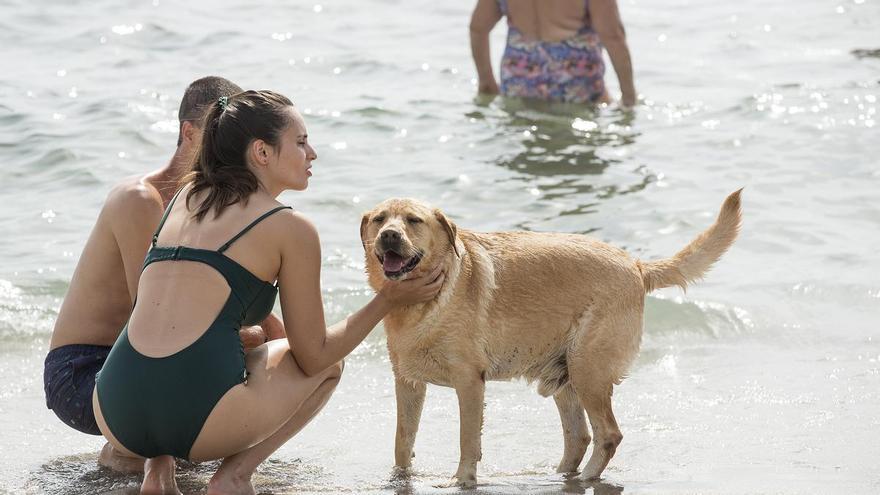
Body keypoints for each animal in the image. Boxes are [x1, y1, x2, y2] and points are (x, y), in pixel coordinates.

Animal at [360, 192, 740, 486]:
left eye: (414, 220)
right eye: (380, 219)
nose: (389, 235)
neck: (421, 303)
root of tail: (636, 266)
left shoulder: (470, 383)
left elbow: (467, 440)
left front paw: (462, 480)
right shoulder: (408, 383)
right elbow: (402, 439)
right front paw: (399, 478)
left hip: (588, 370)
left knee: (608, 434)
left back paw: (586, 478)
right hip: (566, 377)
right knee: (579, 437)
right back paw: (558, 476)